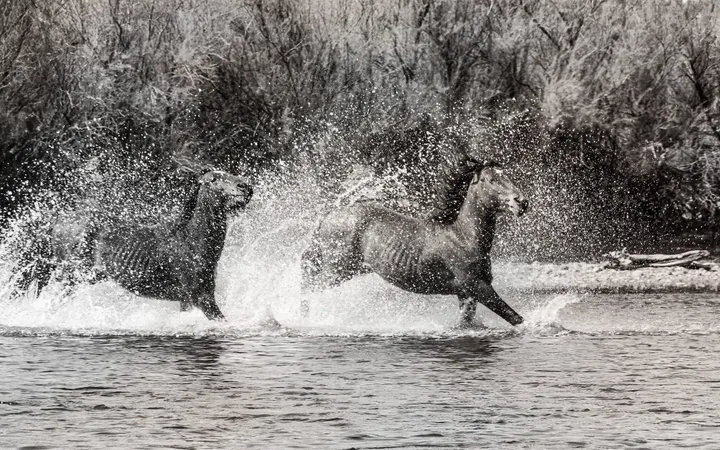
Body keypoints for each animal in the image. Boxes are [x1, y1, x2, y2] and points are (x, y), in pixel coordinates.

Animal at [12, 163, 253, 320]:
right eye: (214, 180)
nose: (245, 187)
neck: (189, 240)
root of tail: (61, 219)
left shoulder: (188, 299)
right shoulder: (201, 297)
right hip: (70, 275)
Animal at [301, 156, 528, 326]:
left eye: (507, 176)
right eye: (491, 180)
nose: (522, 202)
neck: (463, 237)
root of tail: (329, 216)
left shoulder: (466, 294)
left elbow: (466, 323)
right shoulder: (477, 286)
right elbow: (515, 318)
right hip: (336, 270)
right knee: (308, 289)